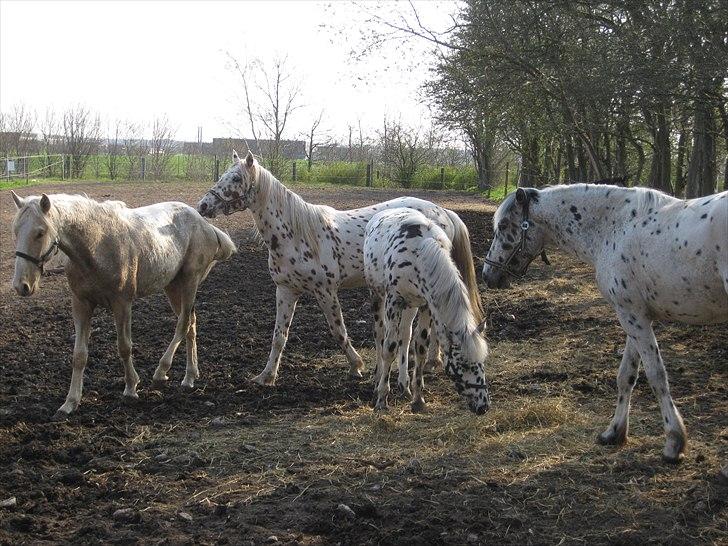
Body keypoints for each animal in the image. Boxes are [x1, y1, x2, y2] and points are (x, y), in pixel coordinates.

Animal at [10, 189, 236, 414]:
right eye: (16, 231)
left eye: (40, 232)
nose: (21, 286)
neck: (97, 245)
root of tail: (205, 224)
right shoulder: (81, 304)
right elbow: (79, 355)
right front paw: (70, 402)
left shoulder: (122, 304)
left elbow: (124, 347)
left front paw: (131, 388)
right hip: (172, 287)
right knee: (191, 324)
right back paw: (190, 376)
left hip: (190, 281)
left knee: (183, 324)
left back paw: (161, 372)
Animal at [196, 150, 484, 386]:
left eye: (235, 178)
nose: (203, 206)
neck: (296, 233)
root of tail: (443, 212)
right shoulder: (286, 290)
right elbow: (279, 336)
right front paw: (266, 376)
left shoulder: (325, 291)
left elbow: (338, 330)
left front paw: (356, 365)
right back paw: (435, 361)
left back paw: (432, 361)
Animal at [364, 208, 490, 412]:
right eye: (463, 364)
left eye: (481, 361)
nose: (482, 406)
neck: (419, 254)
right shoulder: (393, 301)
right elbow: (389, 348)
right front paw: (382, 399)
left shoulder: (426, 305)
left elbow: (420, 347)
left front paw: (418, 400)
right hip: (378, 296)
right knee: (380, 336)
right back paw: (378, 382)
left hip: (410, 306)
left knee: (405, 335)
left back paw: (404, 385)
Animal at [484, 185, 728, 462]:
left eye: (504, 225)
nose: (487, 274)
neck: (615, 227)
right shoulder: (635, 316)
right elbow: (627, 376)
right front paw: (614, 432)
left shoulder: (632, 317)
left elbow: (656, 377)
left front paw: (674, 443)